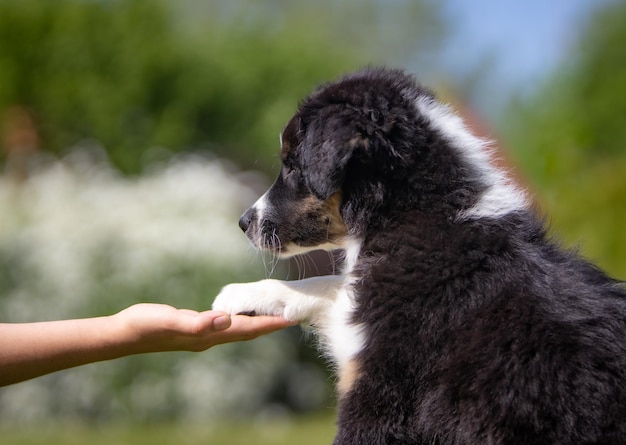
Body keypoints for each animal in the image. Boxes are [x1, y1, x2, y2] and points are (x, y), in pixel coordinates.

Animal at [211, 67, 624, 442]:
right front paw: (242, 294)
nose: (244, 223)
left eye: (293, 166)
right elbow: (330, 284)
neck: (418, 214)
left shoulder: (382, 393)